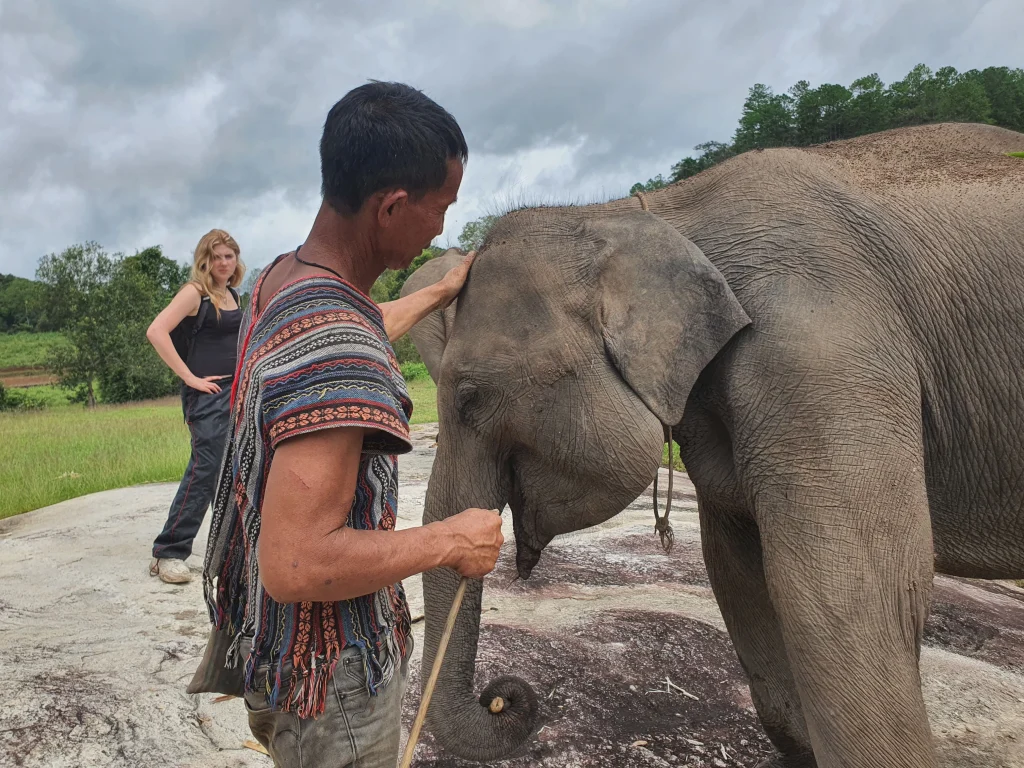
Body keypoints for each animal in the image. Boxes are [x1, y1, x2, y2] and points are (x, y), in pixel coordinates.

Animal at [399, 122, 1024, 768]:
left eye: (470, 398)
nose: (503, 697)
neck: (642, 214)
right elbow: (739, 572)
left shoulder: (822, 356)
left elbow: (849, 597)